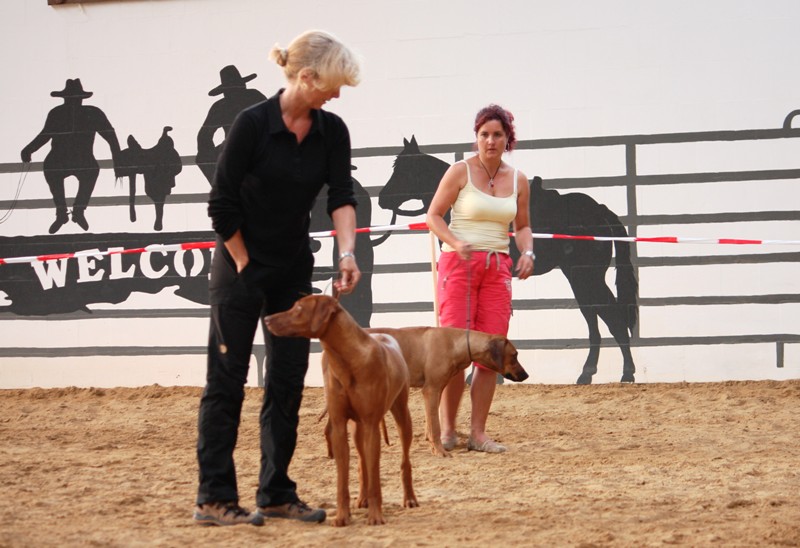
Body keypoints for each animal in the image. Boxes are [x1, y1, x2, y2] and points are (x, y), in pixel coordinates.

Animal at [264, 295, 418, 526]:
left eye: (298, 308)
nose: (266, 319)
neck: (348, 360)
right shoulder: (338, 425)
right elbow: (343, 478)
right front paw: (342, 516)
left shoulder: (371, 425)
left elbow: (376, 477)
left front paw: (375, 516)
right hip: (356, 428)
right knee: (362, 463)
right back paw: (362, 498)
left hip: (401, 414)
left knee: (404, 460)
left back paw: (409, 498)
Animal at [367, 327, 529, 457]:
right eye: (514, 355)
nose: (526, 375)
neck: (456, 343)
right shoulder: (431, 390)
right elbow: (436, 427)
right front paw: (439, 451)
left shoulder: (437, 389)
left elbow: (431, 421)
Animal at [378, 136, 638, 384]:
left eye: (401, 167)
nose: (382, 198)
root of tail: (600, 210)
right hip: (581, 279)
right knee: (595, 320)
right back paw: (589, 374)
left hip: (587, 277)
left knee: (612, 317)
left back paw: (626, 373)